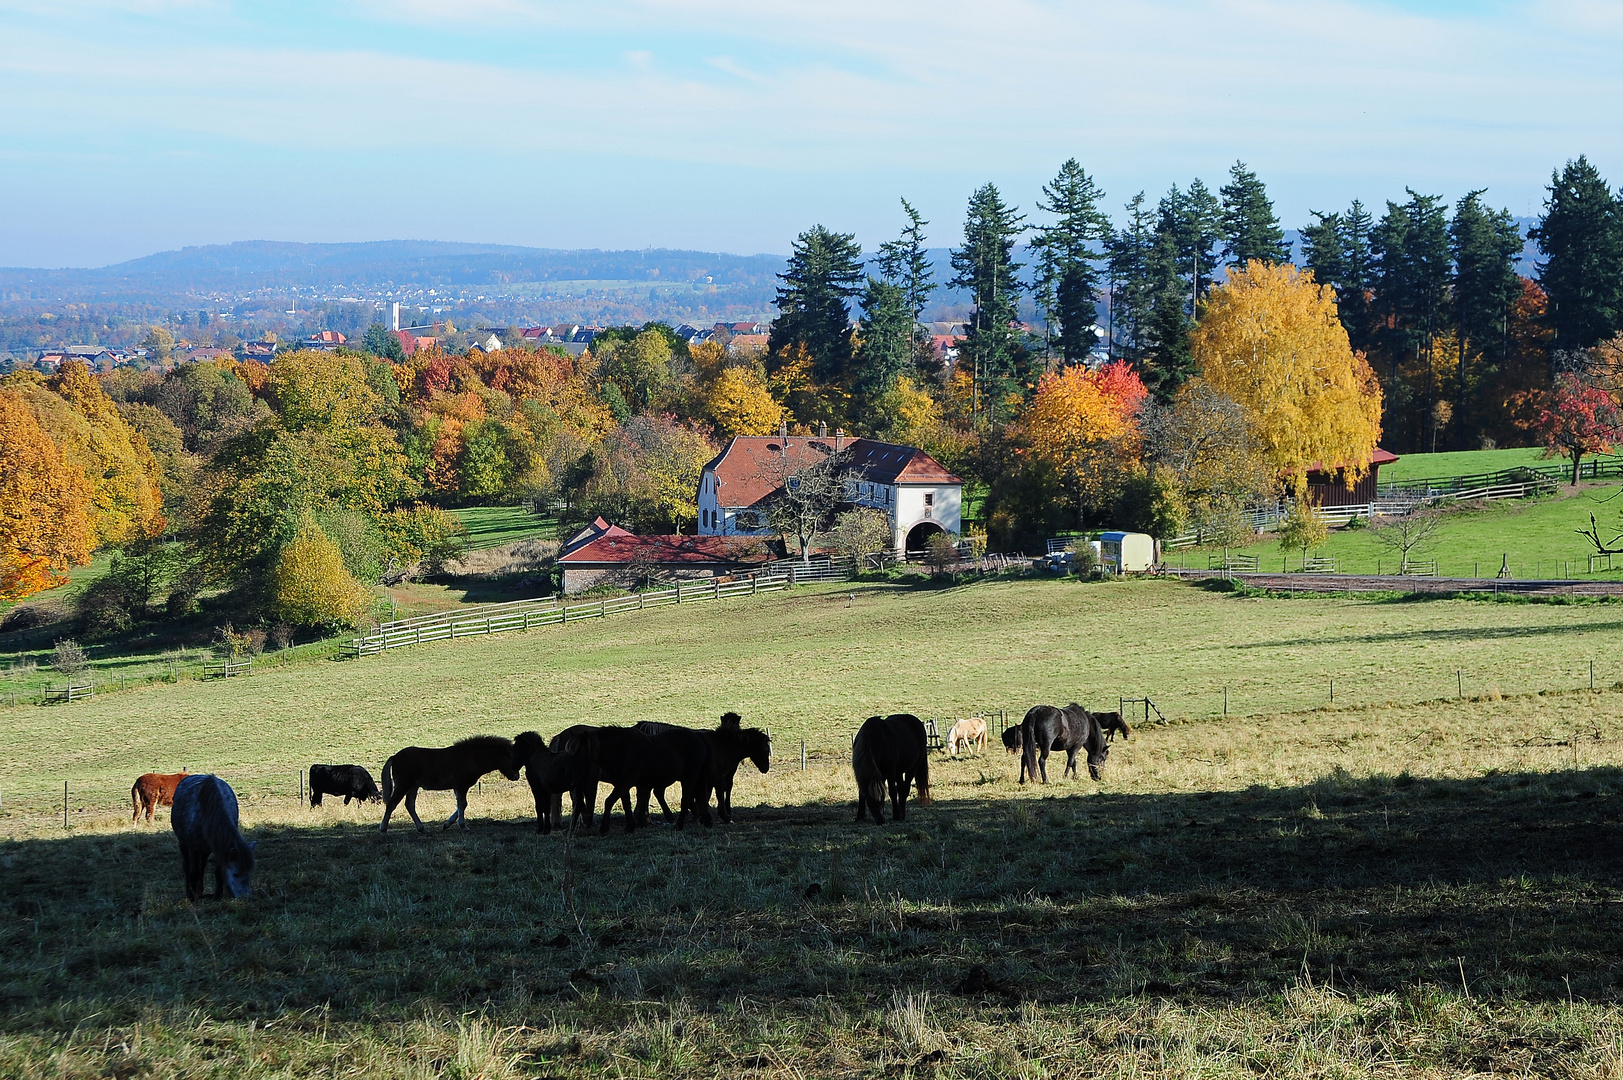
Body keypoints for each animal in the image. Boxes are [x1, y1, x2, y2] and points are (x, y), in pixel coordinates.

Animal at [374, 734, 516, 831]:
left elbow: (460, 805)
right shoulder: (462, 785)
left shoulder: (457, 787)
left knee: (409, 805)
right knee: (392, 804)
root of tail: (394, 757)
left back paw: (422, 829)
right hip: (403, 785)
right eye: (511, 758)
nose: (516, 776)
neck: (471, 757)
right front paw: (463, 826)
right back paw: (383, 829)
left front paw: (447, 824)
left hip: (413, 787)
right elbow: (463, 804)